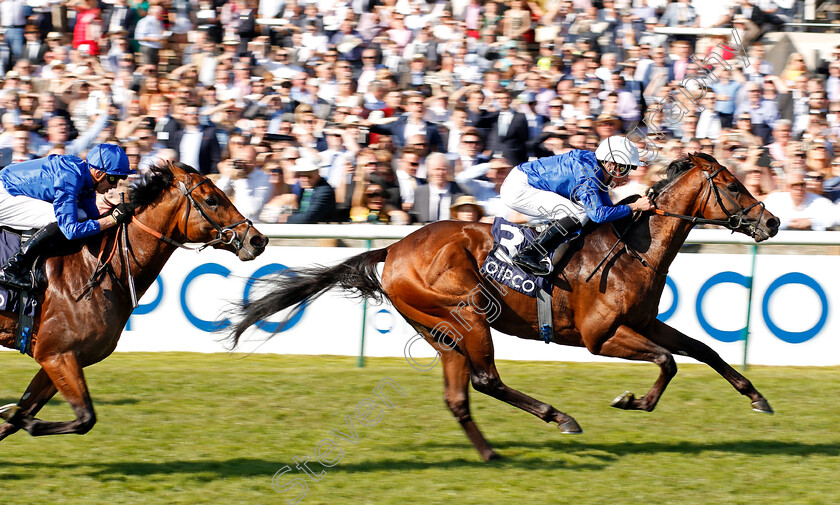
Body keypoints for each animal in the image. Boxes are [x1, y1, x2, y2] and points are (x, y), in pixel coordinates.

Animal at [0, 160, 266, 438]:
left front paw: (16, 416)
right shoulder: (57, 354)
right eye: (212, 200)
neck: (101, 268)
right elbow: (85, 418)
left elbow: (18, 418)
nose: (258, 239)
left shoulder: (61, 358)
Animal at [228, 154, 780, 460]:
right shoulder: (601, 337)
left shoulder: (646, 322)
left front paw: (758, 398)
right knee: (485, 379)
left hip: (441, 331)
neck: (633, 247)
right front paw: (633, 402)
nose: (772, 222)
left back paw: (491, 452)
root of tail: (395, 248)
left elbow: (704, 351)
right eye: (733, 186)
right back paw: (560, 418)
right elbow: (668, 362)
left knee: (459, 394)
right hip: (469, 314)